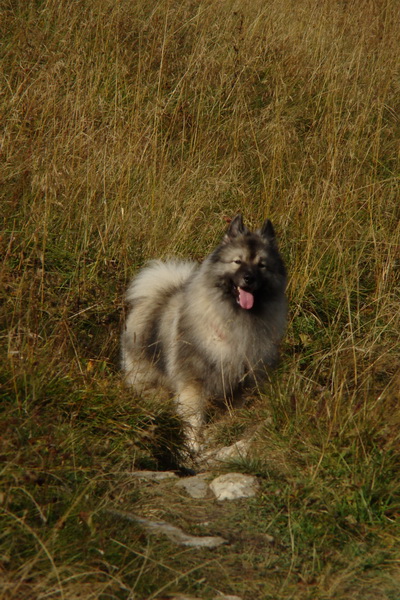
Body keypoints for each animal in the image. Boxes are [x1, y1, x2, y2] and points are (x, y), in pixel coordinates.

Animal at [121, 216, 288, 450]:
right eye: (237, 262)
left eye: (262, 265)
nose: (249, 278)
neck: (236, 320)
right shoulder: (194, 383)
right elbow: (193, 419)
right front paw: (193, 446)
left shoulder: (240, 386)